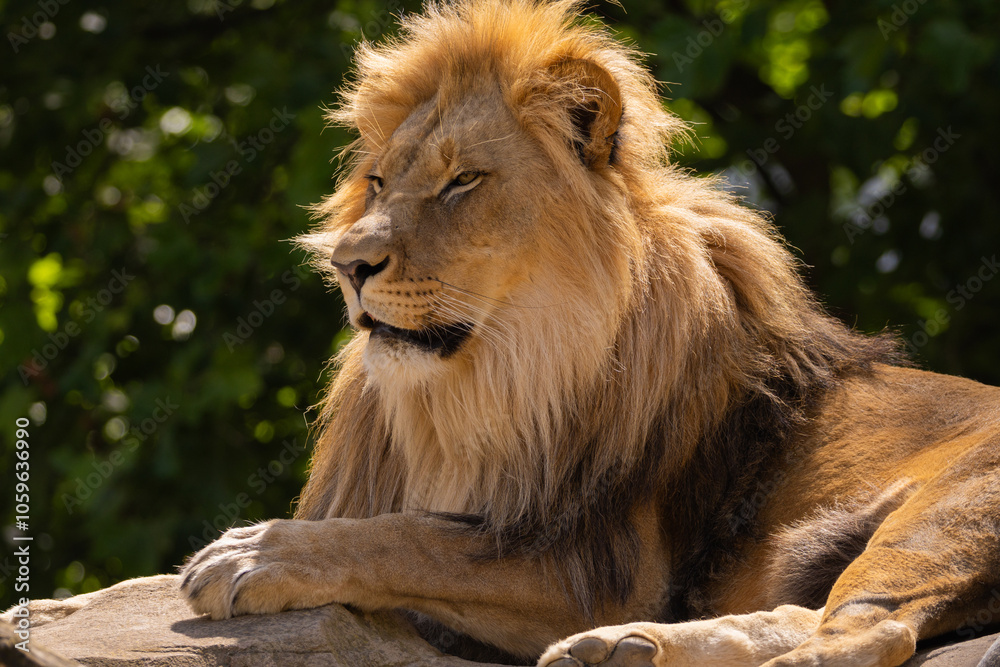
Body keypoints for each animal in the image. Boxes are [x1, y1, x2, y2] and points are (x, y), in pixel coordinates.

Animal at [179, 1, 1000, 665]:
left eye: (462, 181)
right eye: (379, 182)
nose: (347, 264)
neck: (495, 382)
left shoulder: (602, 565)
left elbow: (414, 535)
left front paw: (252, 552)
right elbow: (414, 526)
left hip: (944, 512)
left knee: (868, 631)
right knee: (816, 613)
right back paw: (620, 649)